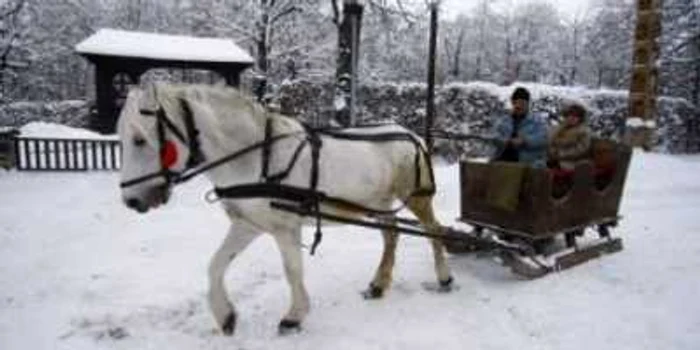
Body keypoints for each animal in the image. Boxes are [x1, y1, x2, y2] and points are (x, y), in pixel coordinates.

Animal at [116, 83, 454, 334]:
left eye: (139, 139)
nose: (131, 200)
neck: (257, 156)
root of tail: (411, 134)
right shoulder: (247, 223)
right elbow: (216, 264)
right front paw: (225, 315)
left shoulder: (285, 227)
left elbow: (292, 270)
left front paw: (294, 315)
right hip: (379, 202)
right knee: (391, 234)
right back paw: (378, 285)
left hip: (416, 197)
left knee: (434, 230)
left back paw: (444, 277)